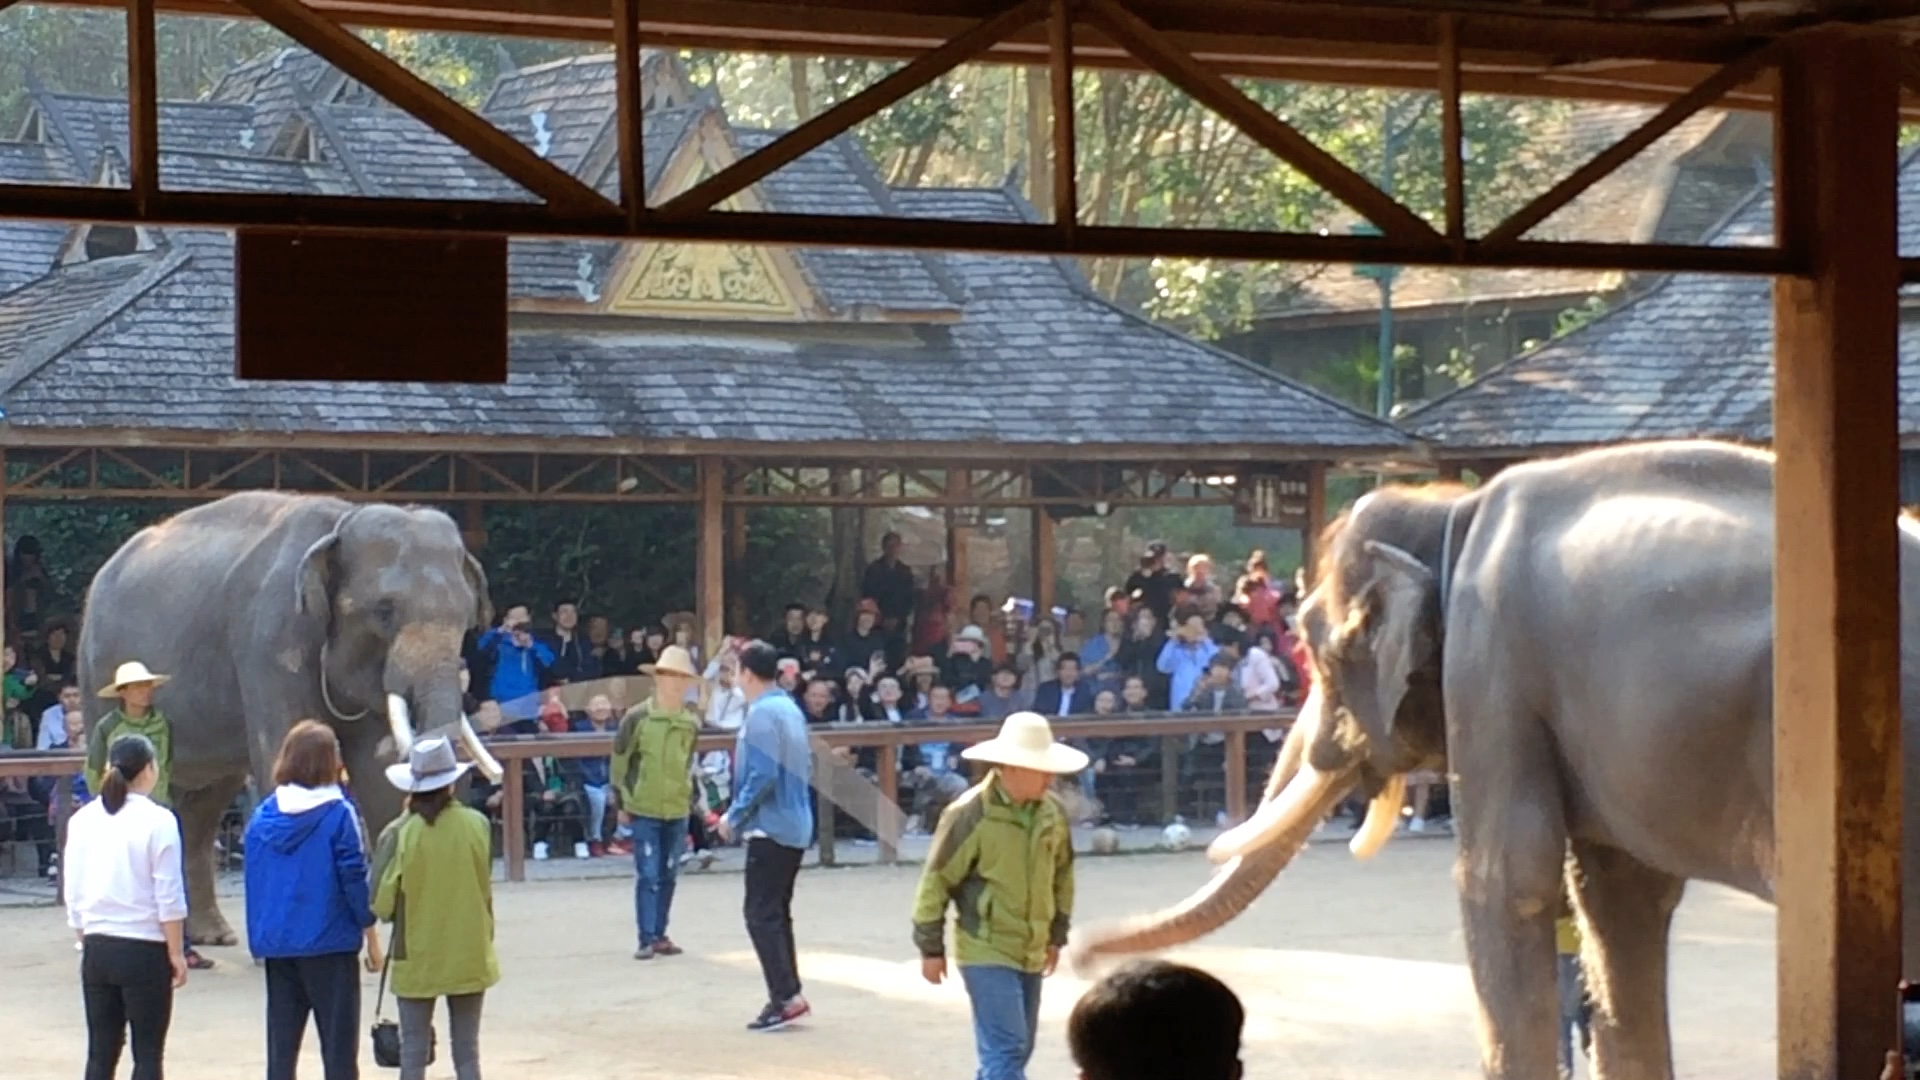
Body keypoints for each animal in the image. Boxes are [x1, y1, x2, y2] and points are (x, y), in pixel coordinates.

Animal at [78, 492, 503, 946]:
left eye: (466, 618)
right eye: (384, 611)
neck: (342, 519)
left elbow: (378, 774)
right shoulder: (270, 639)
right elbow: (285, 757)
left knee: (205, 804)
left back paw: (213, 936)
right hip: (96, 672)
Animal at [1073, 439, 1920, 1080]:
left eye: (1323, 647)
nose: (1078, 953)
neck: (1452, 509)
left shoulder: (1493, 666)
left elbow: (1504, 882)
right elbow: (1618, 896)